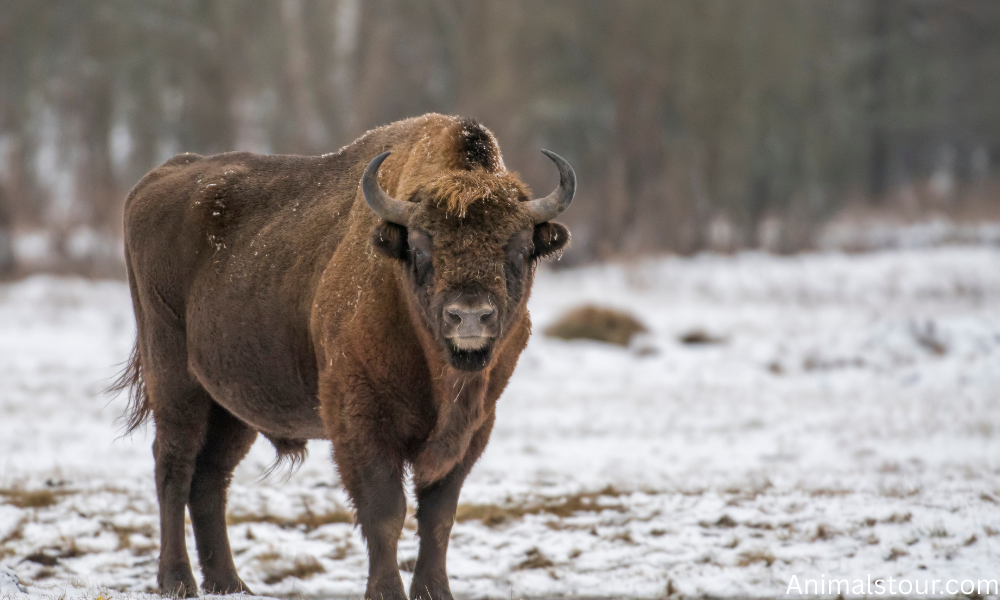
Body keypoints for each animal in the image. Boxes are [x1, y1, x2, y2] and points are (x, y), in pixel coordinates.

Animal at [112, 113, 574, 600]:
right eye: (421, 248)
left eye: (520, 249)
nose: (469, 316)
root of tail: (156, 180)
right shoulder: (359, 419)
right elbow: (385, 510)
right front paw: (386, 591)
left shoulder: (473, 428)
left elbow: (439, 516)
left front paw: (435, 591)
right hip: (174, 381)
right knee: (174, 468)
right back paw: (177, 581)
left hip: (230, 406)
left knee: (211, 477)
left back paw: (230, 583)